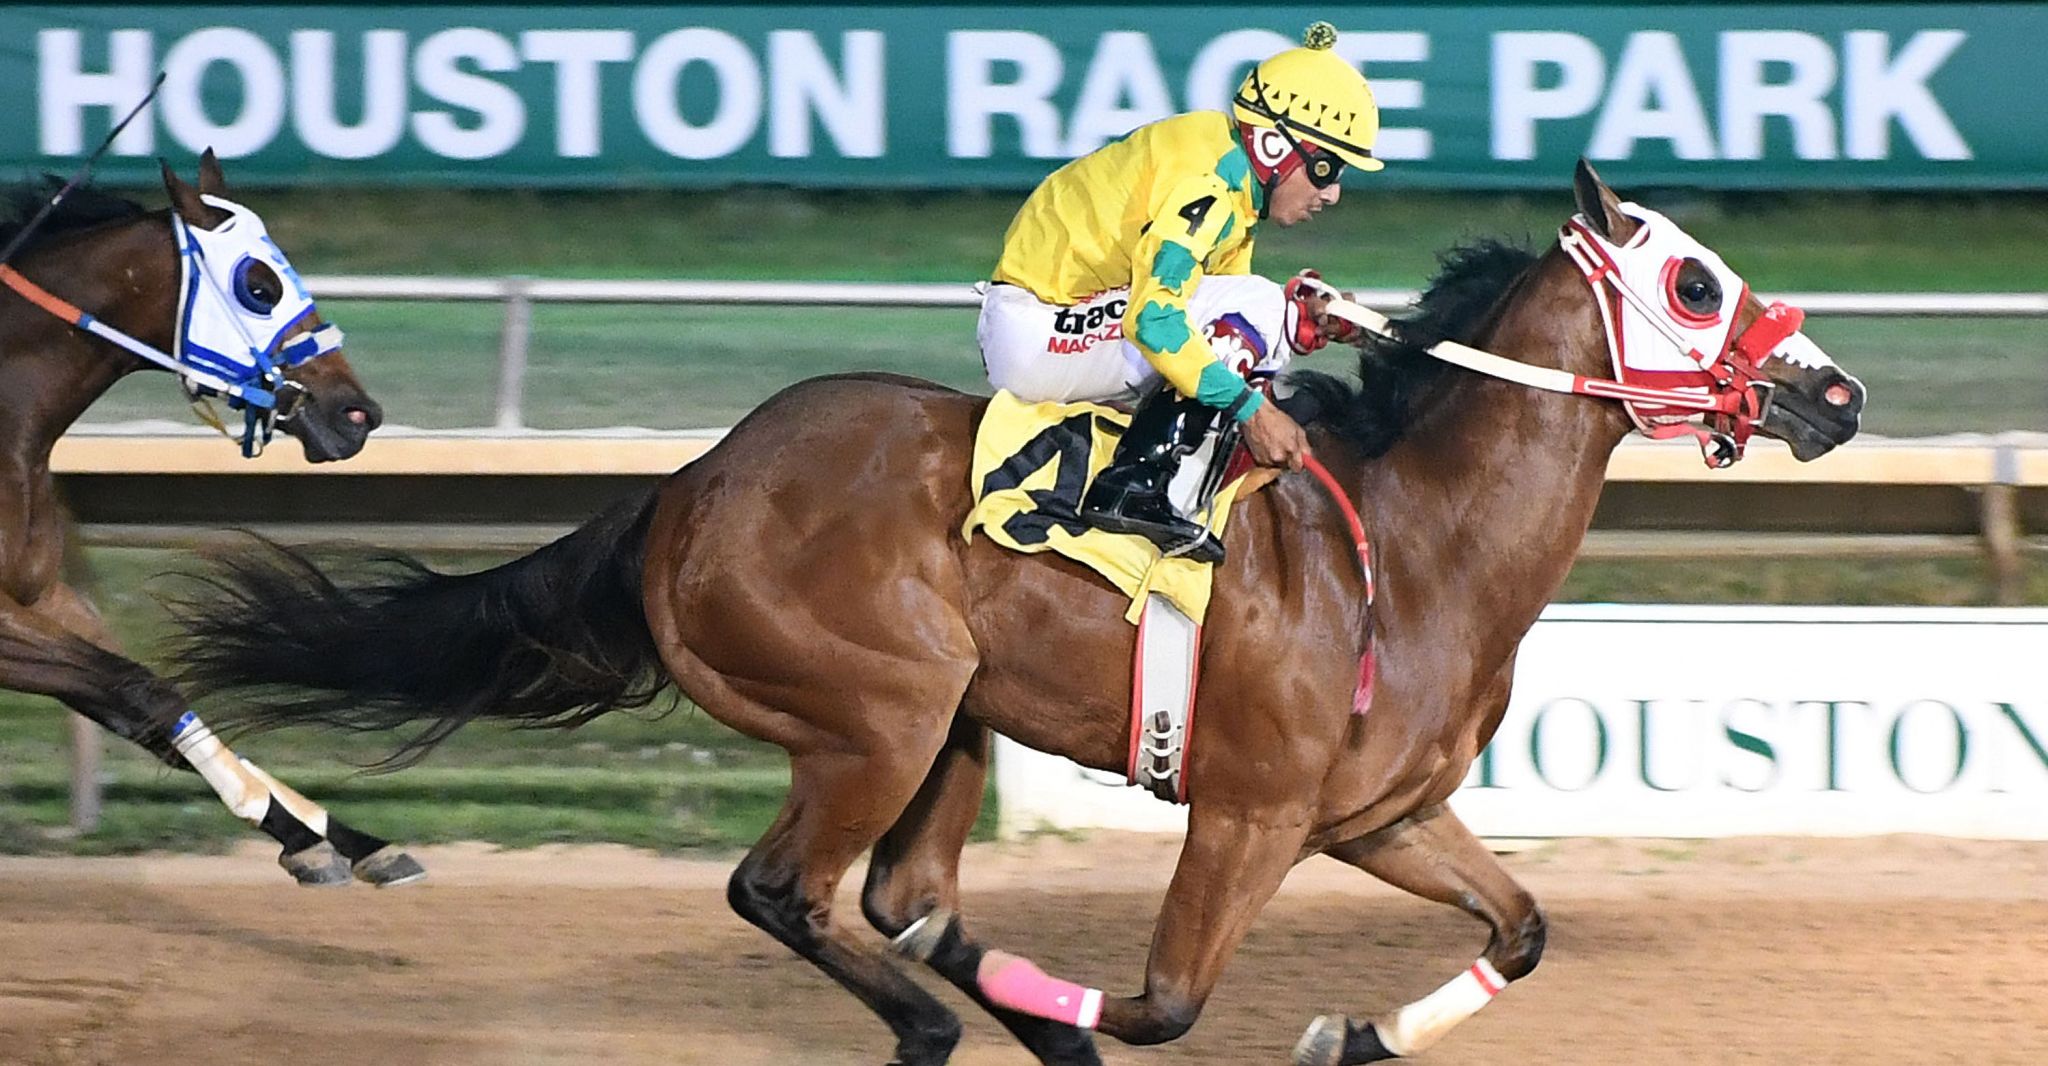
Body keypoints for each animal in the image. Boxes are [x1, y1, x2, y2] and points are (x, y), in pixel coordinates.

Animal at [0, 152, 421, 886]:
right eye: (259, 285)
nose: (357, 414)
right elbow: (141, 691)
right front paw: (308, 837)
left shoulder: (44, 598)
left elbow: (147, 701)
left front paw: (343, 836)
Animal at [172, 161, 1863, 1062]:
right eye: (1696, 283)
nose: (1837, 392)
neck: (1421, 538)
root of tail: (693, 483)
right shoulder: (1247, 812)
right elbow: (1167, 1002)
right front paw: (1086, 1016)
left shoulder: (1378, 815)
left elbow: (1522, 926)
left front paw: (1351, 1028)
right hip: (881, 708)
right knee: (788, 889)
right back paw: (936, 1021)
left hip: (951, 727)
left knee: (899, 893)